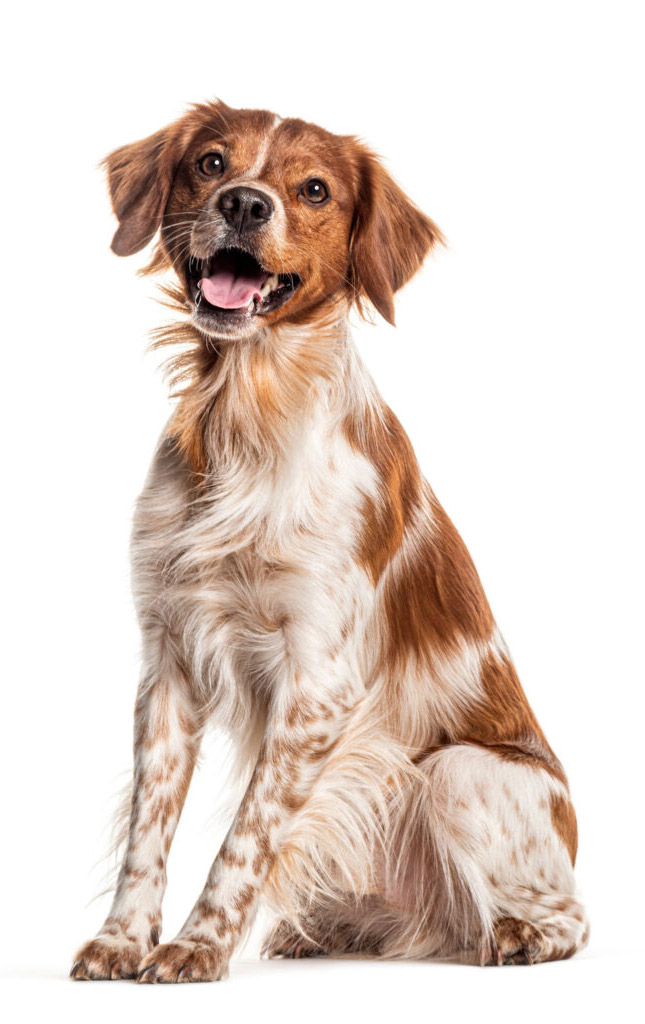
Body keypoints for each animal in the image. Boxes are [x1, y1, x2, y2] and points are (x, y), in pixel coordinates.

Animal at [70, 99, 589, 978]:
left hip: (458, 773)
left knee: (571, 918)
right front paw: (122, 939)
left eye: (313, 188)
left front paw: (197, 945)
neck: (246, 411)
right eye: (211, 162)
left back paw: (520, 935)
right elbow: (150, 829)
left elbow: (244, 838)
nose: (245, 204)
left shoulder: (317, 683)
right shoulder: (168, 662)